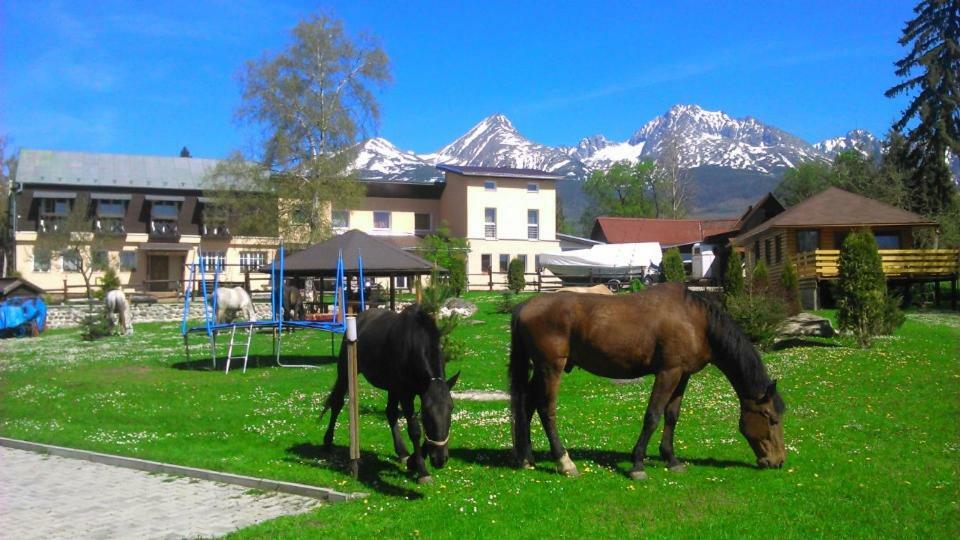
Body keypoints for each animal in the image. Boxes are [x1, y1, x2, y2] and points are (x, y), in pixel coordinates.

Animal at [320, 304, 460, 486]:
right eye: (427, 414)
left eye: (451, 409)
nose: (440, 459)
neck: (414, 343)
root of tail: (359, 317)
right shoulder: (406, 394)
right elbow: (415, 430)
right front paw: (422, 470)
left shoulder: (412, 391)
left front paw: (412, 461)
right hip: (346, 372)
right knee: (337, 404)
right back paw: (327, 441)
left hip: (392, 387)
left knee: (390, 413)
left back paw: (402, 452)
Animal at [510, 280, 788, 478]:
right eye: (771, 419)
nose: (778, 461)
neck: (696, 321)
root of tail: (525, 306)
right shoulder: (668, 372)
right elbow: (653, 416)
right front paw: (637, 464)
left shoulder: (683, 374)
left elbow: (672, 416)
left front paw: (671, 459)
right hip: (550, 368)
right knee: (546, 410)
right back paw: (564, 462)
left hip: (542, 370)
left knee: (527, 405)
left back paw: (526, 458)